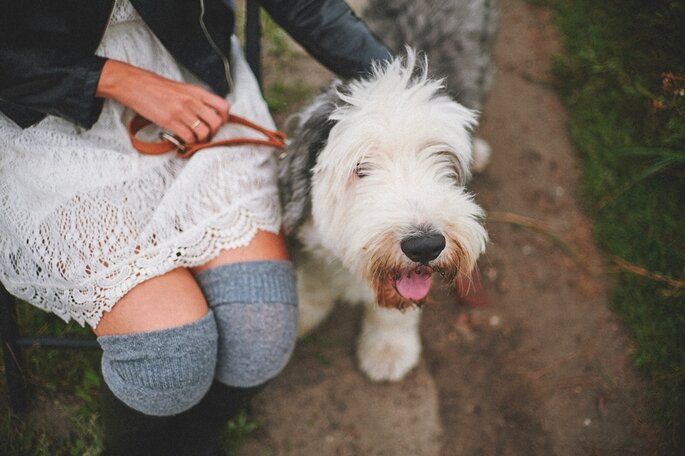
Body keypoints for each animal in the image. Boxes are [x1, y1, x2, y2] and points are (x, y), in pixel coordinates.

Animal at [280, 50, 488, 382]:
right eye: (361, 167)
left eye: (442, 158)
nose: (425, 245)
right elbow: (314, 279)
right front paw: (301, 315)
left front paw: (388, 349)